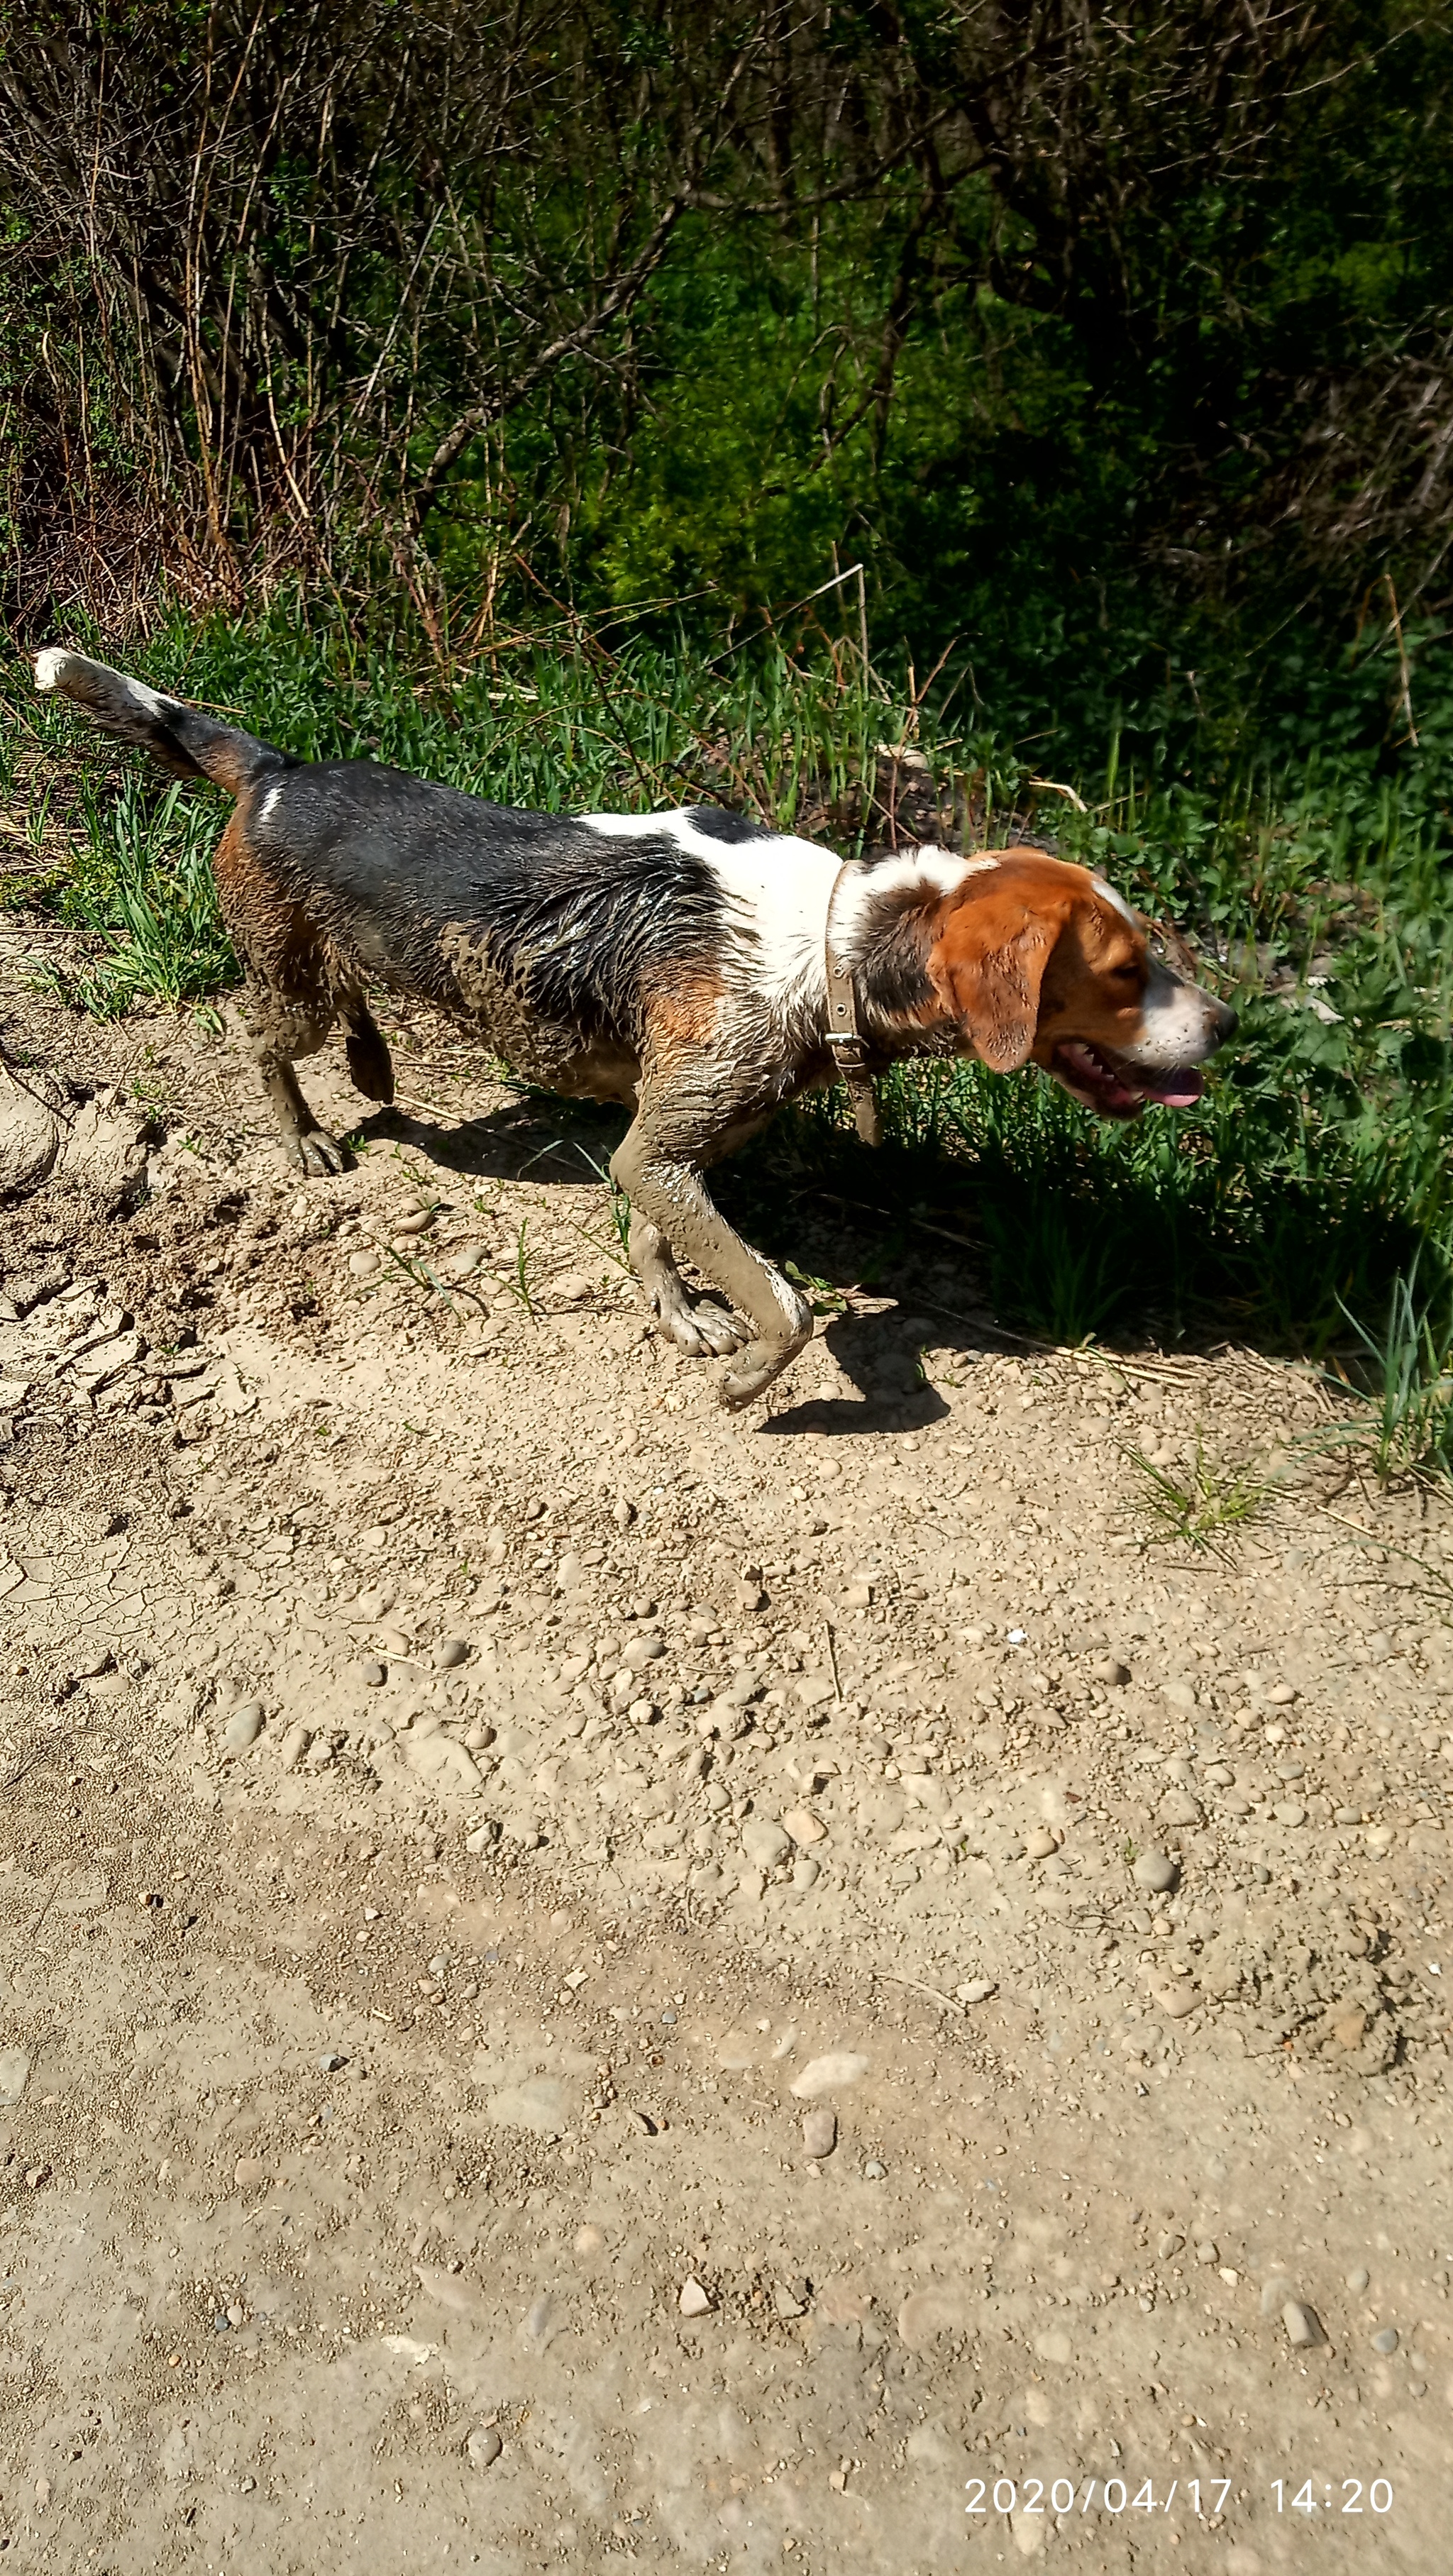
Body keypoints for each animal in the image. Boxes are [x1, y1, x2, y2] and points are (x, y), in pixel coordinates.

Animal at [34, 643, 1236, 1411]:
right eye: (1124, 972)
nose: (1227, 1026)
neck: (832, 947)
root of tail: (279, 770)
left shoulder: (672, 1149)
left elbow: (664, 1240)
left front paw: (678, 1314)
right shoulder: (662, 1149)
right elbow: (791, 1306)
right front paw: (744, 1377)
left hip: (339, 966)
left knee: (356, 1013)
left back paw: (374, 1068)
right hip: (291, 989)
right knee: (262, 1044)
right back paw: (303, 1134)